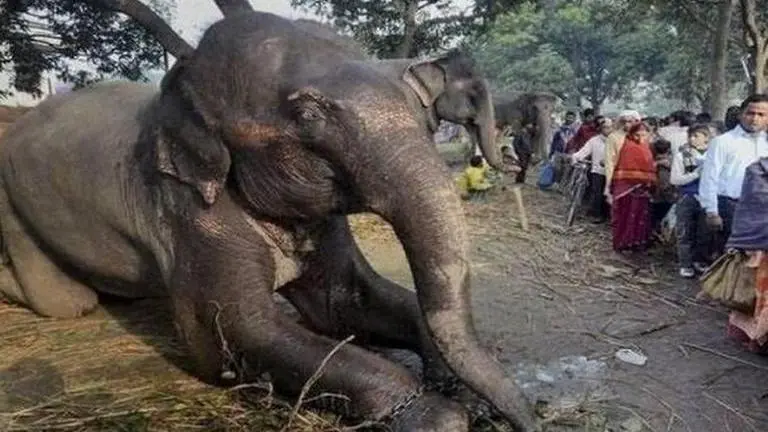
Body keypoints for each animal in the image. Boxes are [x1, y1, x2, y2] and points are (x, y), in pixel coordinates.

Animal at [0, 10, 537, 432]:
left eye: (419, 110)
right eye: (306, 115)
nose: (531, 421)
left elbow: (341, 304)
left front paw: (456, 387)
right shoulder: (190, 209)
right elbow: (234, 332)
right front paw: (439, 415)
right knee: (67, 303)